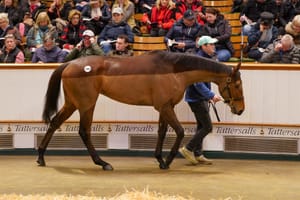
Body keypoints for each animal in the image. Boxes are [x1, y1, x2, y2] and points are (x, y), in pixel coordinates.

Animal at [37, 50, 244, 170]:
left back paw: (41, 157)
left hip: (72, 103)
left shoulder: (165, 107)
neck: (173, 70)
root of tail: (70, 64)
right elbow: (179, 131)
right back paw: (103, 163)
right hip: (86, 105)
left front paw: (160, 159)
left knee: (55, 122)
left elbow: (162, 132)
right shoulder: (165, 107)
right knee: (84, 131)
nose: (240, 109)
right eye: (237, 85)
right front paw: (168, 160)